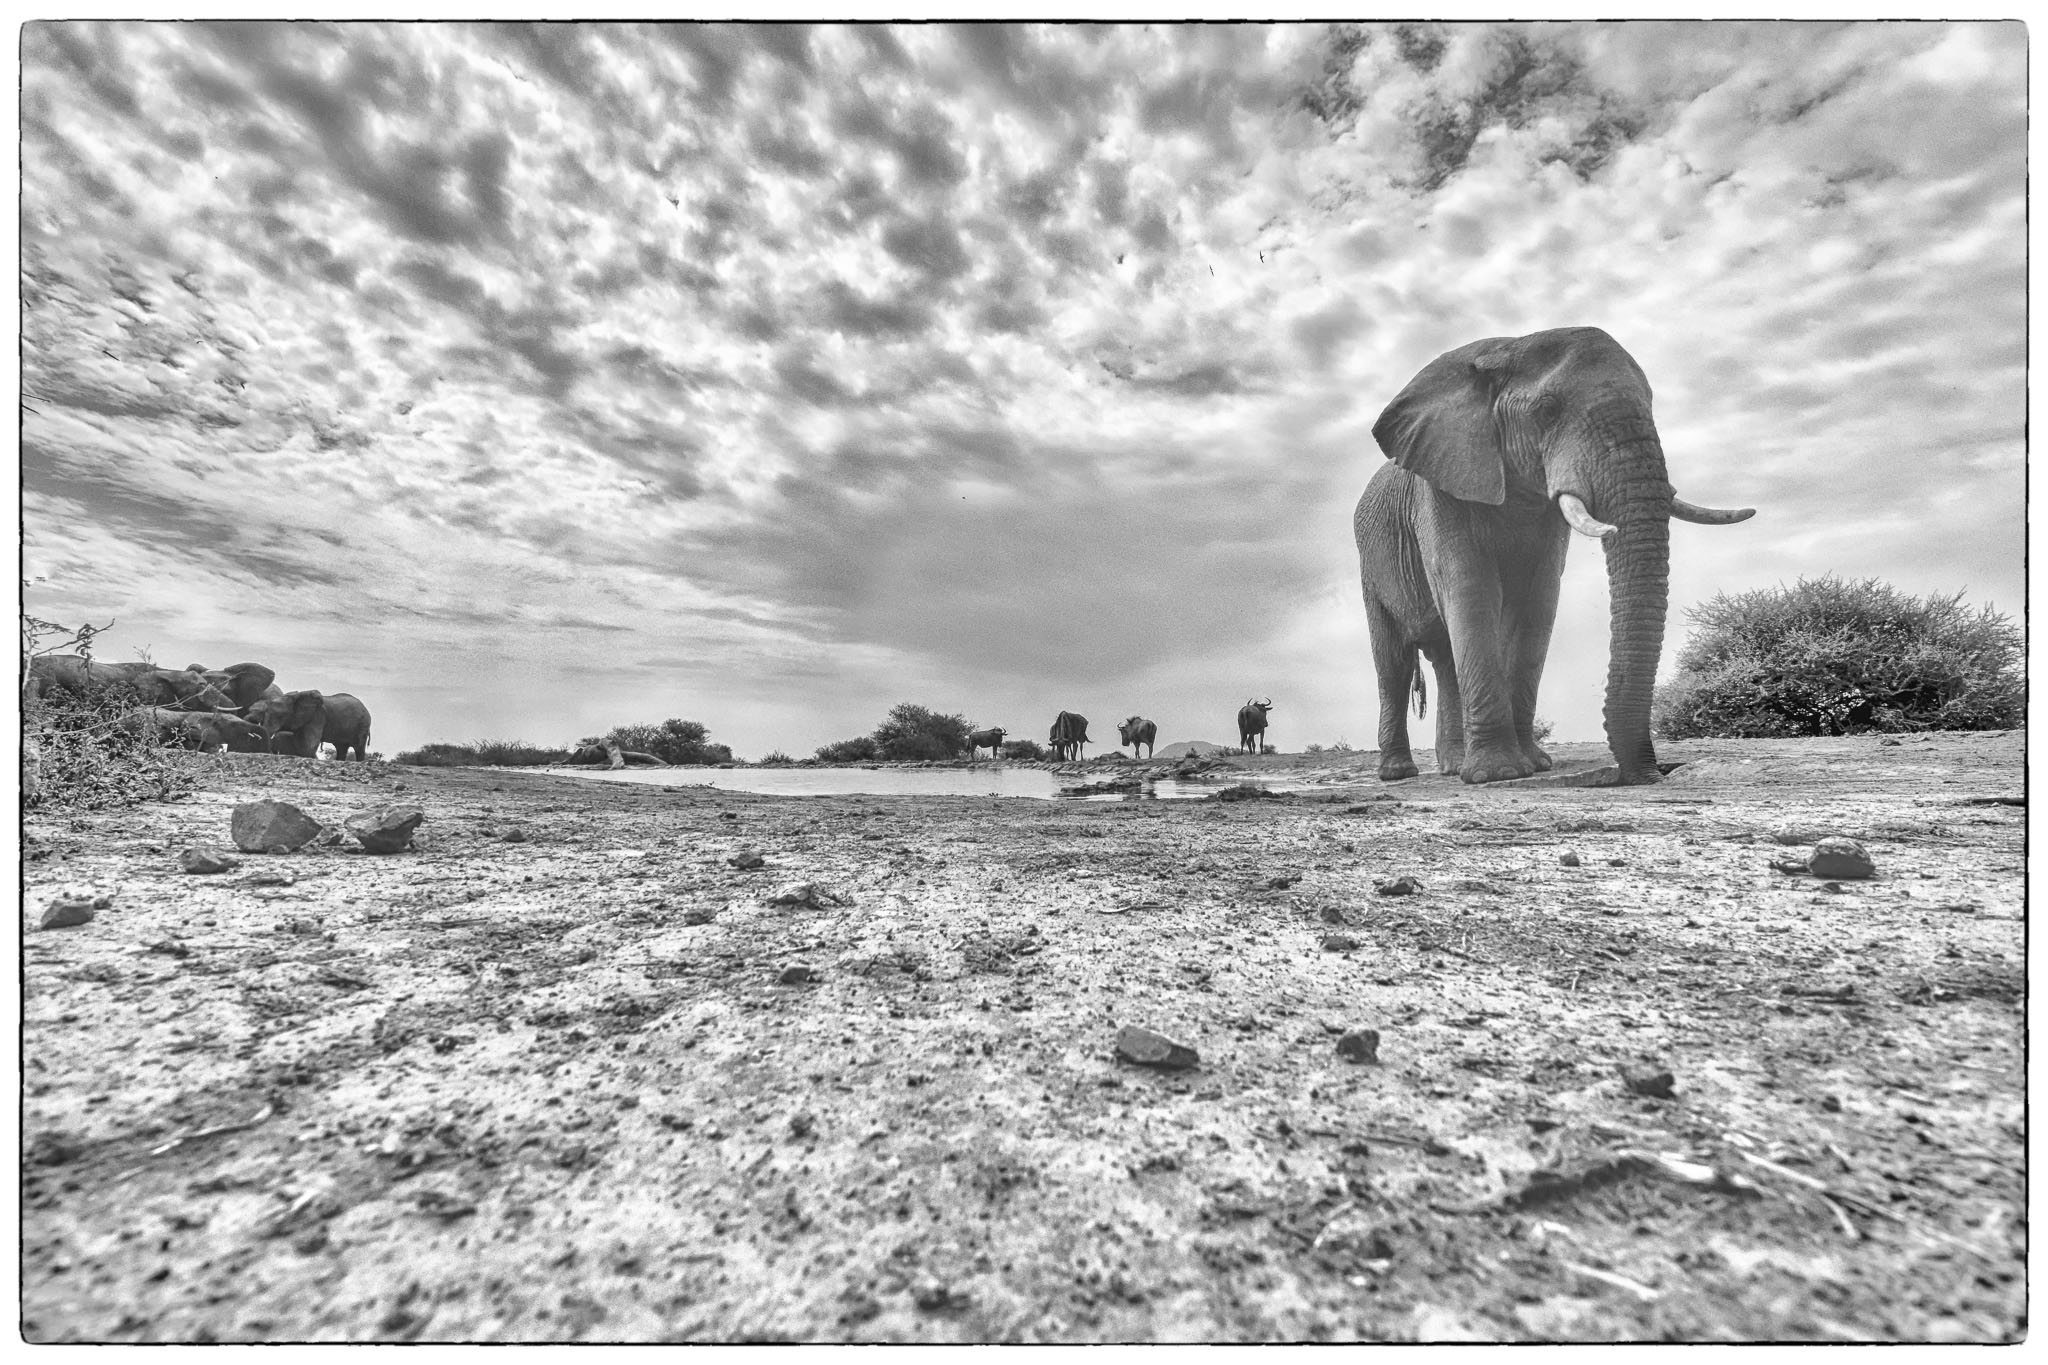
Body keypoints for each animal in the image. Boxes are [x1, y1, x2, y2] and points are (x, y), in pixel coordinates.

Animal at [1356, 326, 1754, 786]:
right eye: (1547, 411)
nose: (1650, 774)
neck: (1504, 348)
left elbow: (1539, 604)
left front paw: (1535, 765)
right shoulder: (1439, 493)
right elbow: (1471, 593)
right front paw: (1500, 774)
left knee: (1444, 657)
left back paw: (1453, 766)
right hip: (1369, 566)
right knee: (1394, 663)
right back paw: (1398, 773)